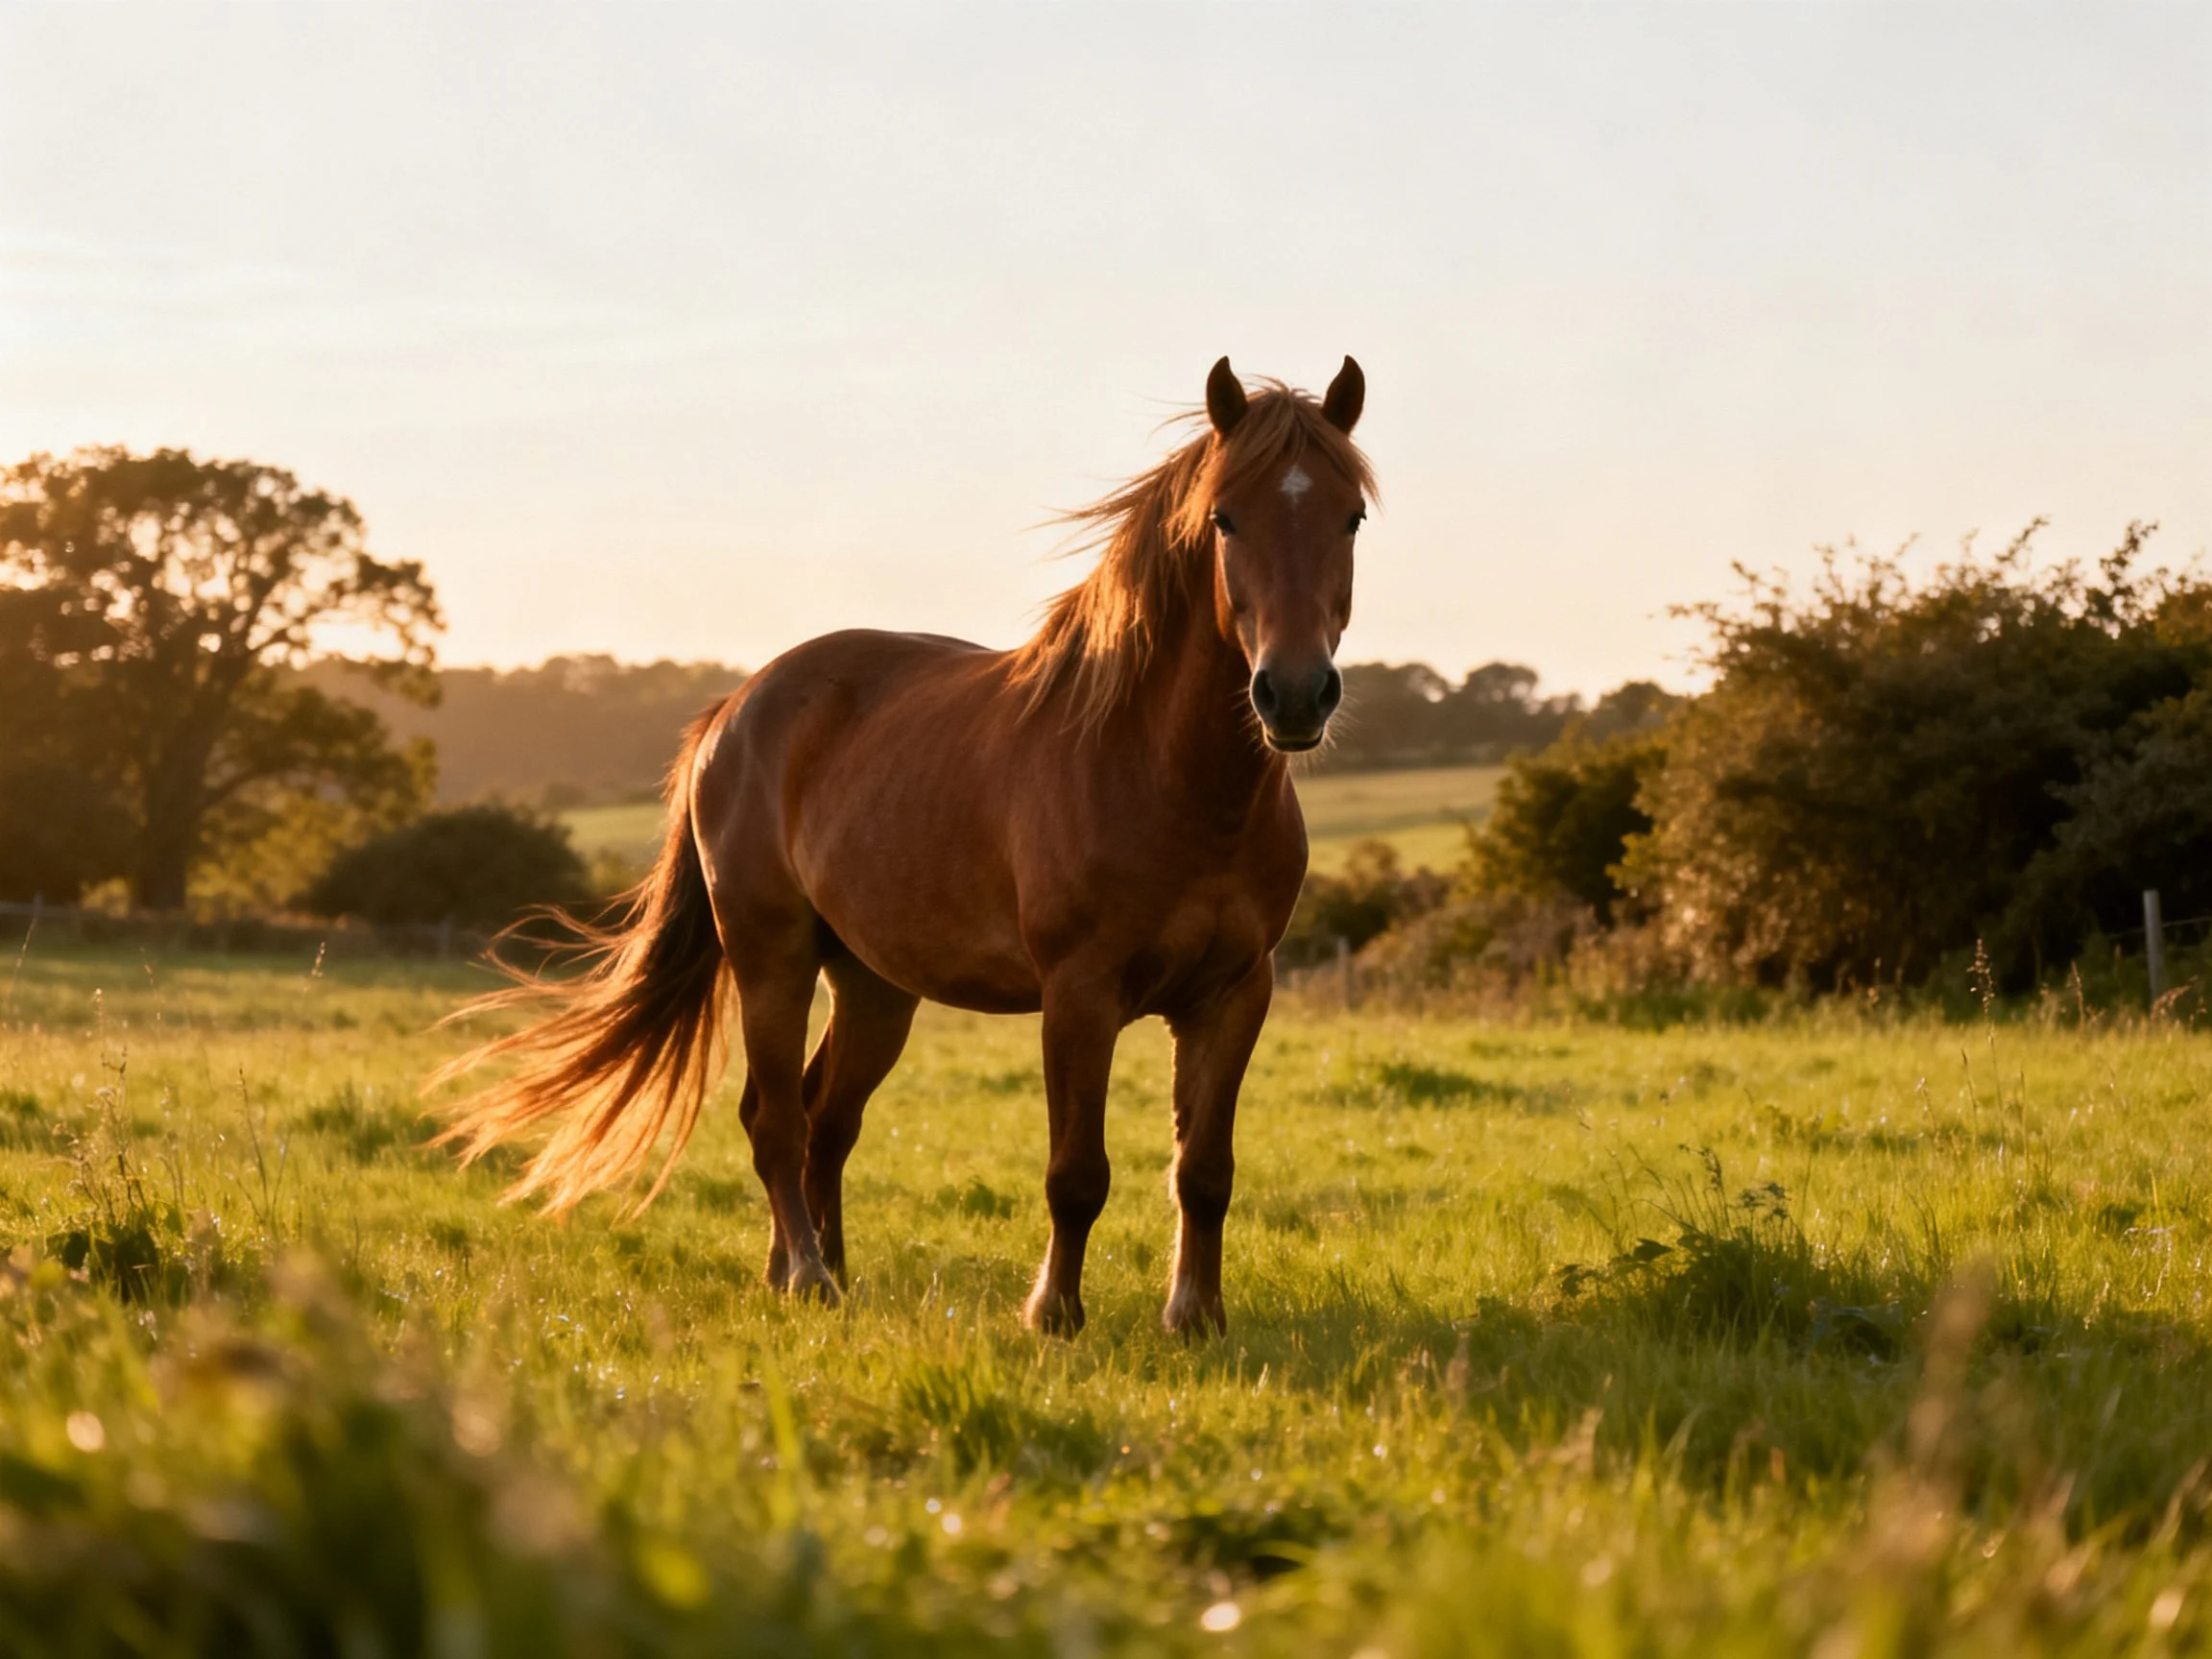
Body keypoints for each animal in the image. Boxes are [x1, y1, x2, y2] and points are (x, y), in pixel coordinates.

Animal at [433, 355, 1374, 1336]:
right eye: (1225, 517)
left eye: (1351, 515)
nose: (1294, 694)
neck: (1170, 779)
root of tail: (734, 709)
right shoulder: (1080, 994)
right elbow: (1076, 1174)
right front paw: (1054, 1315)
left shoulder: (1235, 994)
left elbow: (1205, 1172)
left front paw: (1195, 1319)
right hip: (771, 958)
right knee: (776, 1121)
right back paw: (808, 1276)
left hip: (874, 986)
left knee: (824, 1119)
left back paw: (814, 1273)